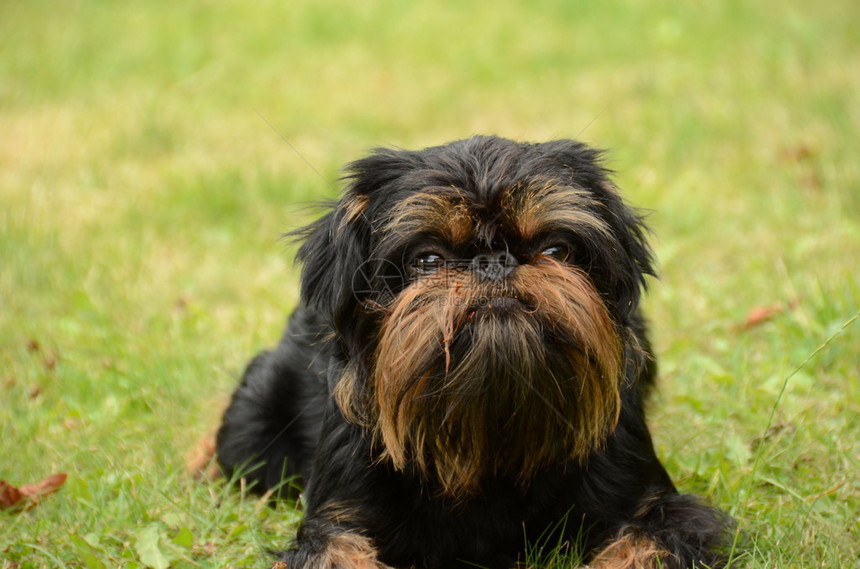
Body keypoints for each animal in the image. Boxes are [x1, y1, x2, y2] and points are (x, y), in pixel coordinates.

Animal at [217, 138, 732, 568]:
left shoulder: (661, 513)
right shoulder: (337, 522)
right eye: (427, 260)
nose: (494, 261)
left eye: (557, 250)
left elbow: (646, 544)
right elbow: (335, 550)